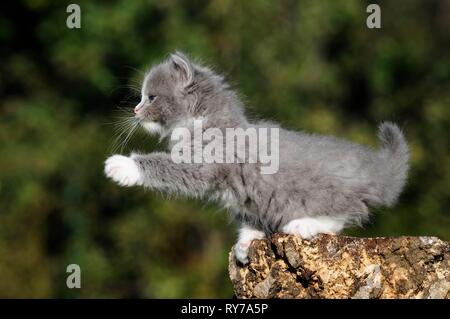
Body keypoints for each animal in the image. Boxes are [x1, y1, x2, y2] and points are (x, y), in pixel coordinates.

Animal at [103, 52, 410, 264]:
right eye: (142, 97)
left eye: (151, 97)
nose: (135, 110)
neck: (206, 123)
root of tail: (376, 168)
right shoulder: (247, 199)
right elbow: (250, 220)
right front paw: (245, 243)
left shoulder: (204, 163)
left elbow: (164, 165)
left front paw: (122, 166)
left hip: (323, 192)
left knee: (346, 213)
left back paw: (304, 224)